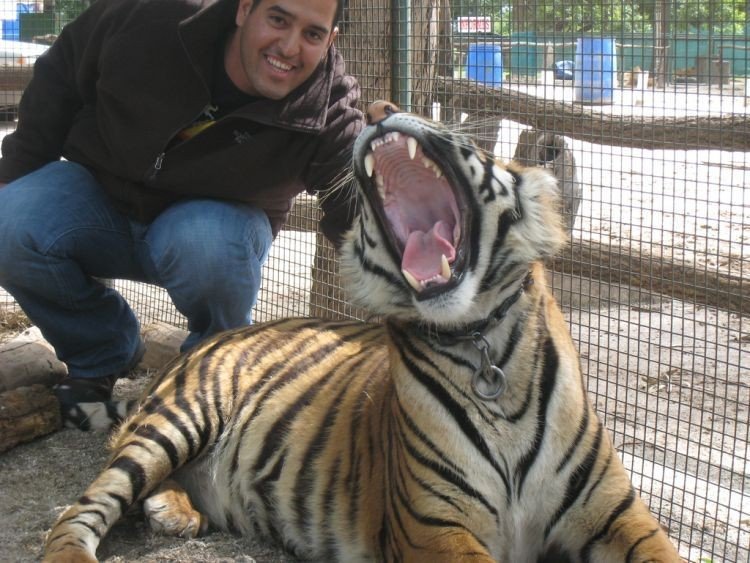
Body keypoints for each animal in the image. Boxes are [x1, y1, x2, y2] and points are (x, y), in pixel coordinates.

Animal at [44, 102, 684, 563]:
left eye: (472, 146)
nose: (379, 107)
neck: (480, 342)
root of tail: (204, 344)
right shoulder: (435, 527)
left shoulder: (617, 514)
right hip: (177, 420)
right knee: (77, 512)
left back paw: (174, 512)